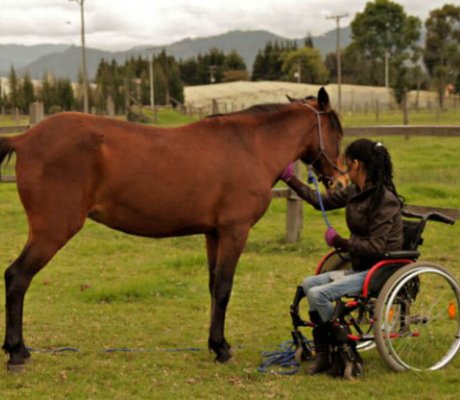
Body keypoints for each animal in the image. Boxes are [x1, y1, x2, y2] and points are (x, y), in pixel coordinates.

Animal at [0, 86, 344, 370]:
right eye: (337, 132)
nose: (340, 181)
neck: (250, 146)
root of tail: (25, 138)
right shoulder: (234, 231)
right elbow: (224, 289)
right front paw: (222, 349)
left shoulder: (213, 233)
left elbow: (213, 286)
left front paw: (215, 344)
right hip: (52, 231)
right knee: (17, 277)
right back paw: (16, 353)